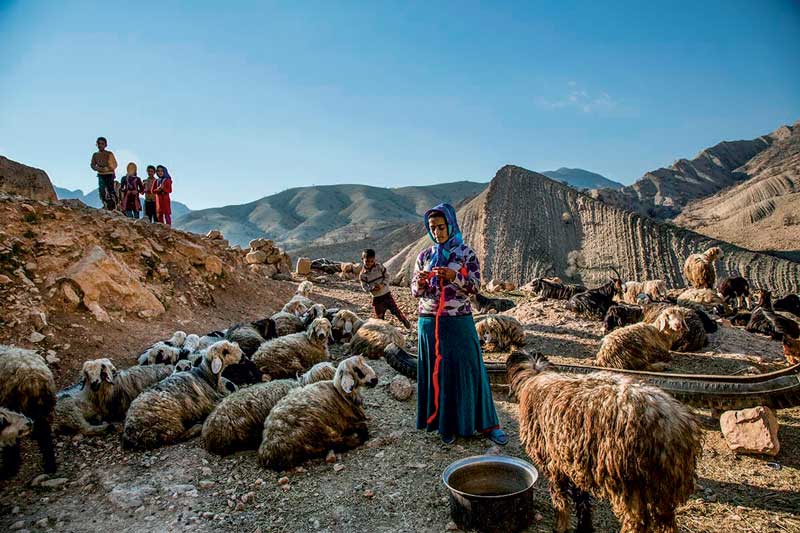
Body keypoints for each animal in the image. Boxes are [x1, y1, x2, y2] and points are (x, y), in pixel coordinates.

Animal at [0, 344, 57, 474]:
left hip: (14, 405)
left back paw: (9, 470)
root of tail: (33, 377)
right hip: (43, 407)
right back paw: (50, 466)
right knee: (45, 434)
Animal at [506, 350, 700, 532]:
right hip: (661, 488)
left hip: (631, 483)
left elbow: (560, 498)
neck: (535, 376)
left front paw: (560, 526)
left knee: (636, 522)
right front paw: (584, 527)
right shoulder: (574, 460)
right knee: (667, 523)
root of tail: (672, 426)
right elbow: (582, 499)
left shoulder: (553, 462)